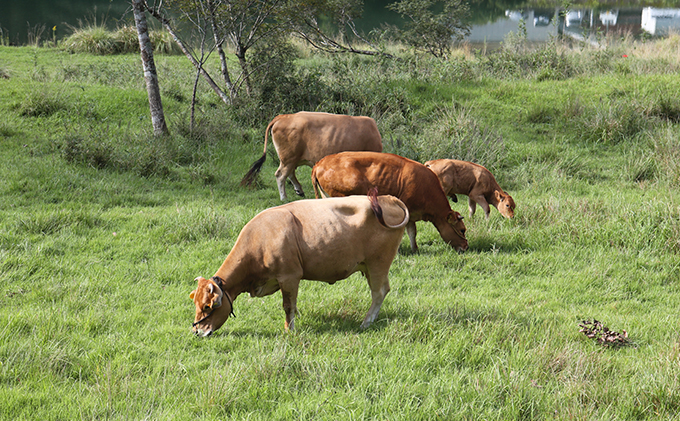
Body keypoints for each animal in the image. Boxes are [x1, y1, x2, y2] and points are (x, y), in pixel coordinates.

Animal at [189, 193, 410, 334]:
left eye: (208, 306)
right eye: (196, 304)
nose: (197, 331)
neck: (260, 238)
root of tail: (387, 198)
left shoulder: (289, 276)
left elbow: (288, 306)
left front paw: (289, 330)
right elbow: (293, 304)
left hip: (378, 262)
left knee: (379, 292)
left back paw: (366, 322)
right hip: (371, 265)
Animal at [242, 111, 386, 200]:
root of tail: (284, 116)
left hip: (291, 159)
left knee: (290, 173)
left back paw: (299, 190)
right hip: (288, 158)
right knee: (280, 175)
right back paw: (284, 198)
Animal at [312, 151, 468, 253]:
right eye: (462, 230)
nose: (466, 247)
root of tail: (320, 162)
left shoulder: (412, 213)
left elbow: (412, 232)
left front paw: (415, 249)